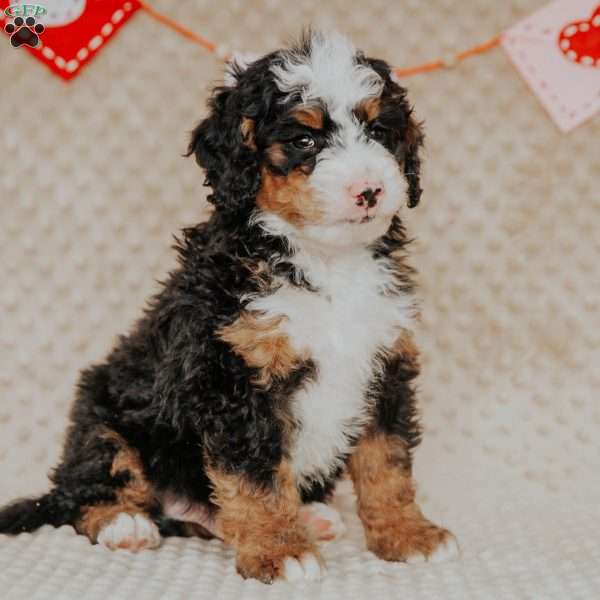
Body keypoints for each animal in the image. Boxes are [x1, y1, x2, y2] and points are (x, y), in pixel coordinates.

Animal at [0, 29, 454, 584]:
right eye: (305, 139)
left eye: (379, 130)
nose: (369, 190)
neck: (326, 263)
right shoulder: (233, 378)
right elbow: (255, 476)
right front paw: (280, 550)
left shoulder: (384, 367)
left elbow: (387, 463)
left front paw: (408, 535)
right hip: (100, 415)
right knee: (86, 486)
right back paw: (124, 523)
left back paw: (309, 515)